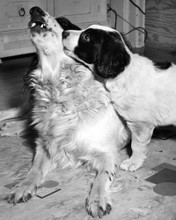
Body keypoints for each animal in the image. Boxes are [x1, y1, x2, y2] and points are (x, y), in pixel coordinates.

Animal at [7, 7, 129, 218]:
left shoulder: (107, 154)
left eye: (64, 23)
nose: (34, 9)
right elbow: (34, 170)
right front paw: (23, 186)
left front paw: (97, 199)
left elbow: (102, 177)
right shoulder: (44, 147)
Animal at [62, 23, 176, 172]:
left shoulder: (141, 123)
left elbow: (137, 145)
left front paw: (133, 162)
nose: (64, 32)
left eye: (86, 37)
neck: (124, 72)